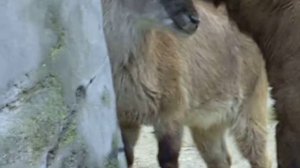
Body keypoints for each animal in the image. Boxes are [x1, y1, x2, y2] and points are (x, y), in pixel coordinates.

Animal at [102, 0, 270, 167]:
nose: (194, 20)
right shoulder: (126, 119)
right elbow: (128, 156)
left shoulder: (172, 114)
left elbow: (168, 157)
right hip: (207, 124)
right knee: (222, 159)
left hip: (251, 108)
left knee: (261, 157)